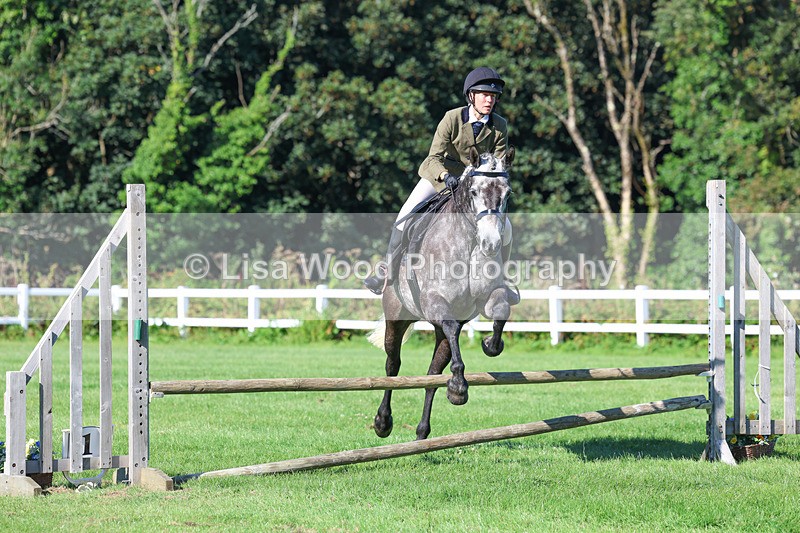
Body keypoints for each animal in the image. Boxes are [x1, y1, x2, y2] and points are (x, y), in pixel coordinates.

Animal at [368, 146, 517, 440]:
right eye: (474, 192)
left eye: (507, 194)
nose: (490, 244)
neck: (469, 244)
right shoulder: (435, 303)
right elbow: (448, 324)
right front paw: (459, 388)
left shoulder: (481, 302)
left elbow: (500, 311)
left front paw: (489, 345)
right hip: (396, 316)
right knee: (392, 365)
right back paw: (383, 423)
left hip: (439, 337)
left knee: (432, 376)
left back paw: (422, 432)